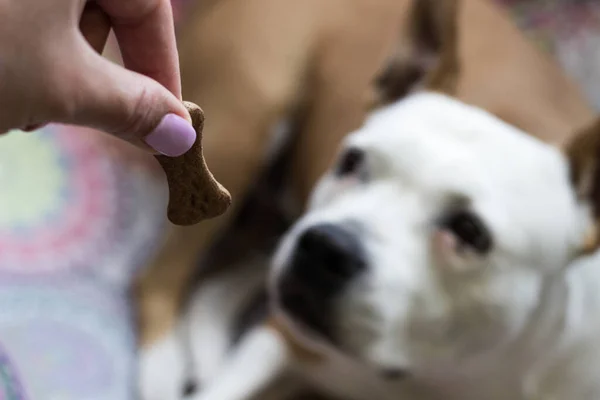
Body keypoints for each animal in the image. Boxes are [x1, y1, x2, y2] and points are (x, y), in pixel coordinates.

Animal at [138, 0, 600, 400]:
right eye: (352, 160)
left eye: (470, 231)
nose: (327, 249)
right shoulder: (281, 343)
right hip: (244, 124)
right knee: (160, 277)